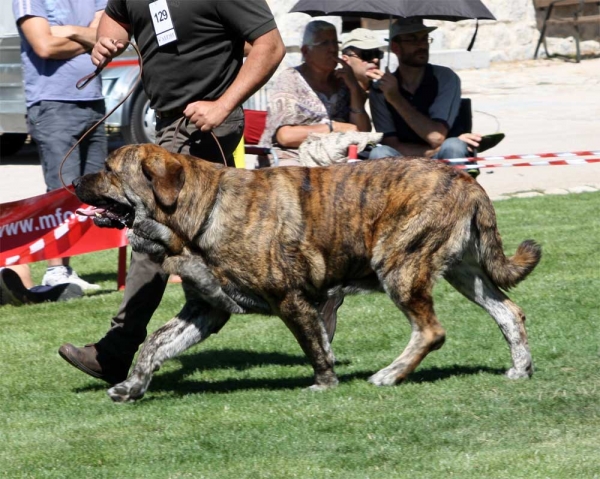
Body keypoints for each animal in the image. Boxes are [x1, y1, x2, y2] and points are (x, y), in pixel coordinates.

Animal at [75, 144, 544, 404]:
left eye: (110, 169)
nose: (76, 182)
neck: (197, 213)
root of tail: (466, 180)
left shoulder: (291, 299)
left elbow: (314, 344)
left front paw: (324, 382)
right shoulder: (205, 309)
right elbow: (154, 344)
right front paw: (131, 387)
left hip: (399, 264)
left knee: (431, 331)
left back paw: (390, 374)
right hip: (465, 272)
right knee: (509, 313)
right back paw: (520, 368)